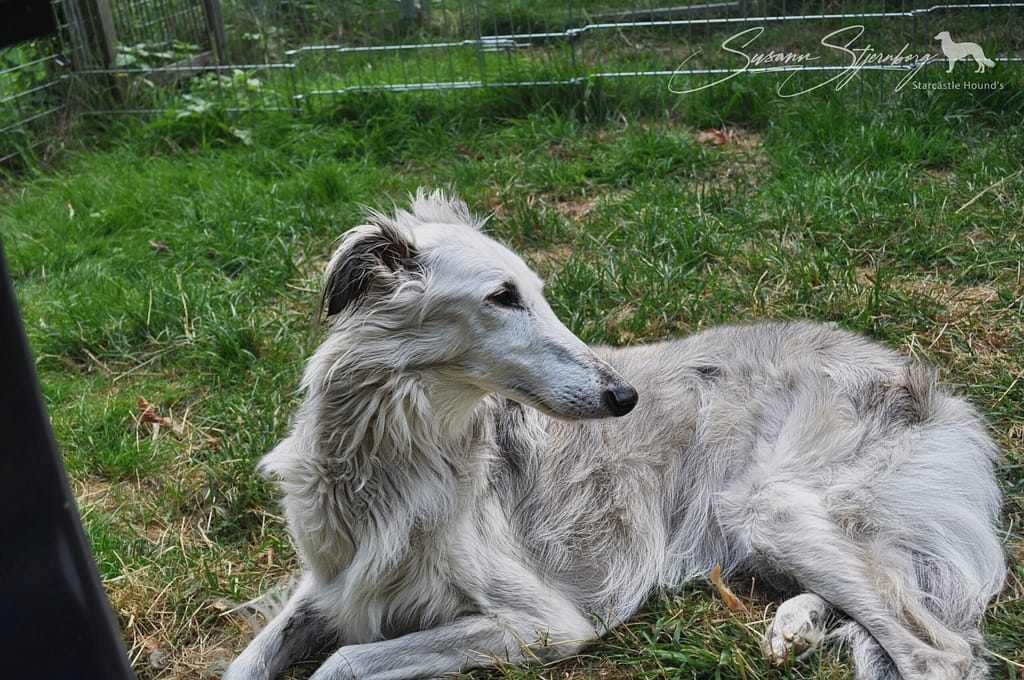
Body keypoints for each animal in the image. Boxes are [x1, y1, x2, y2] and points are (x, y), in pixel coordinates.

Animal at [223, 190, 1005, 680]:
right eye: (502, 297)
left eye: (537, 291)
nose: (624, 397)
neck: (387, 456)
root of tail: (924, 379)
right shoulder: (331, 582)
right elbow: (248, 659)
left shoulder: (543, 621)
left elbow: (345, 659)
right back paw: (796, 623)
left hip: (768, 503)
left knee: (939, 650)